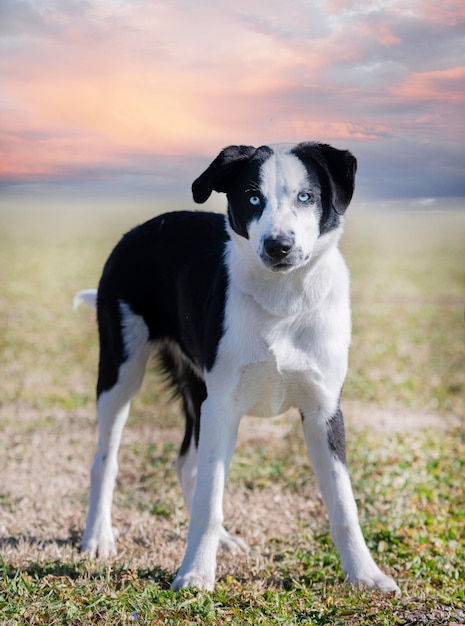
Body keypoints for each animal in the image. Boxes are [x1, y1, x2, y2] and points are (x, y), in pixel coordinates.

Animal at [76, 141, 398, 588]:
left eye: (306, 197)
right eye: (252, 198)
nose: (278, 246)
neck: (283, 300)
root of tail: (140, 229)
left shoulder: (324, 410)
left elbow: (344, 505)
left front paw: (366, 575)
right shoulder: (223, 406)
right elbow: (210, 501)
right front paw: (195, 574)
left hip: (196, 390)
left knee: (186, 463)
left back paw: (224, 541)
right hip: (121, 372)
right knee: (105, 461)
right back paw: (97, 537)